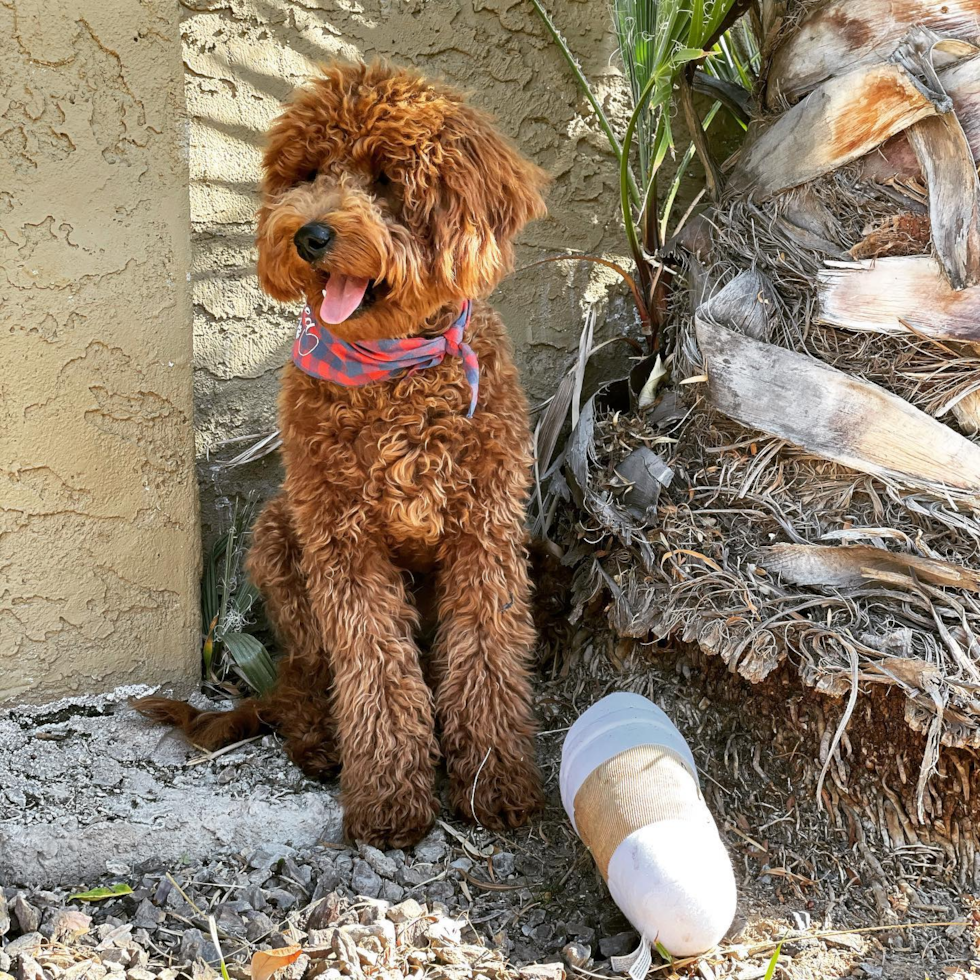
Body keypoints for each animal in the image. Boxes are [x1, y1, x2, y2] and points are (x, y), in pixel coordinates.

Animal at [136, 61, 552, 848]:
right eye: (307, 174)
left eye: (387, 179)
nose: (310, 233)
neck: (395, 371)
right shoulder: (342, 539)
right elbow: (375, 670)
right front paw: (389, 800)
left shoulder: (485, 532)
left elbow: (486, 654)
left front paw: (492, 782)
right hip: (277, 539)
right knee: (303, 680)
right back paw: (320, 743)